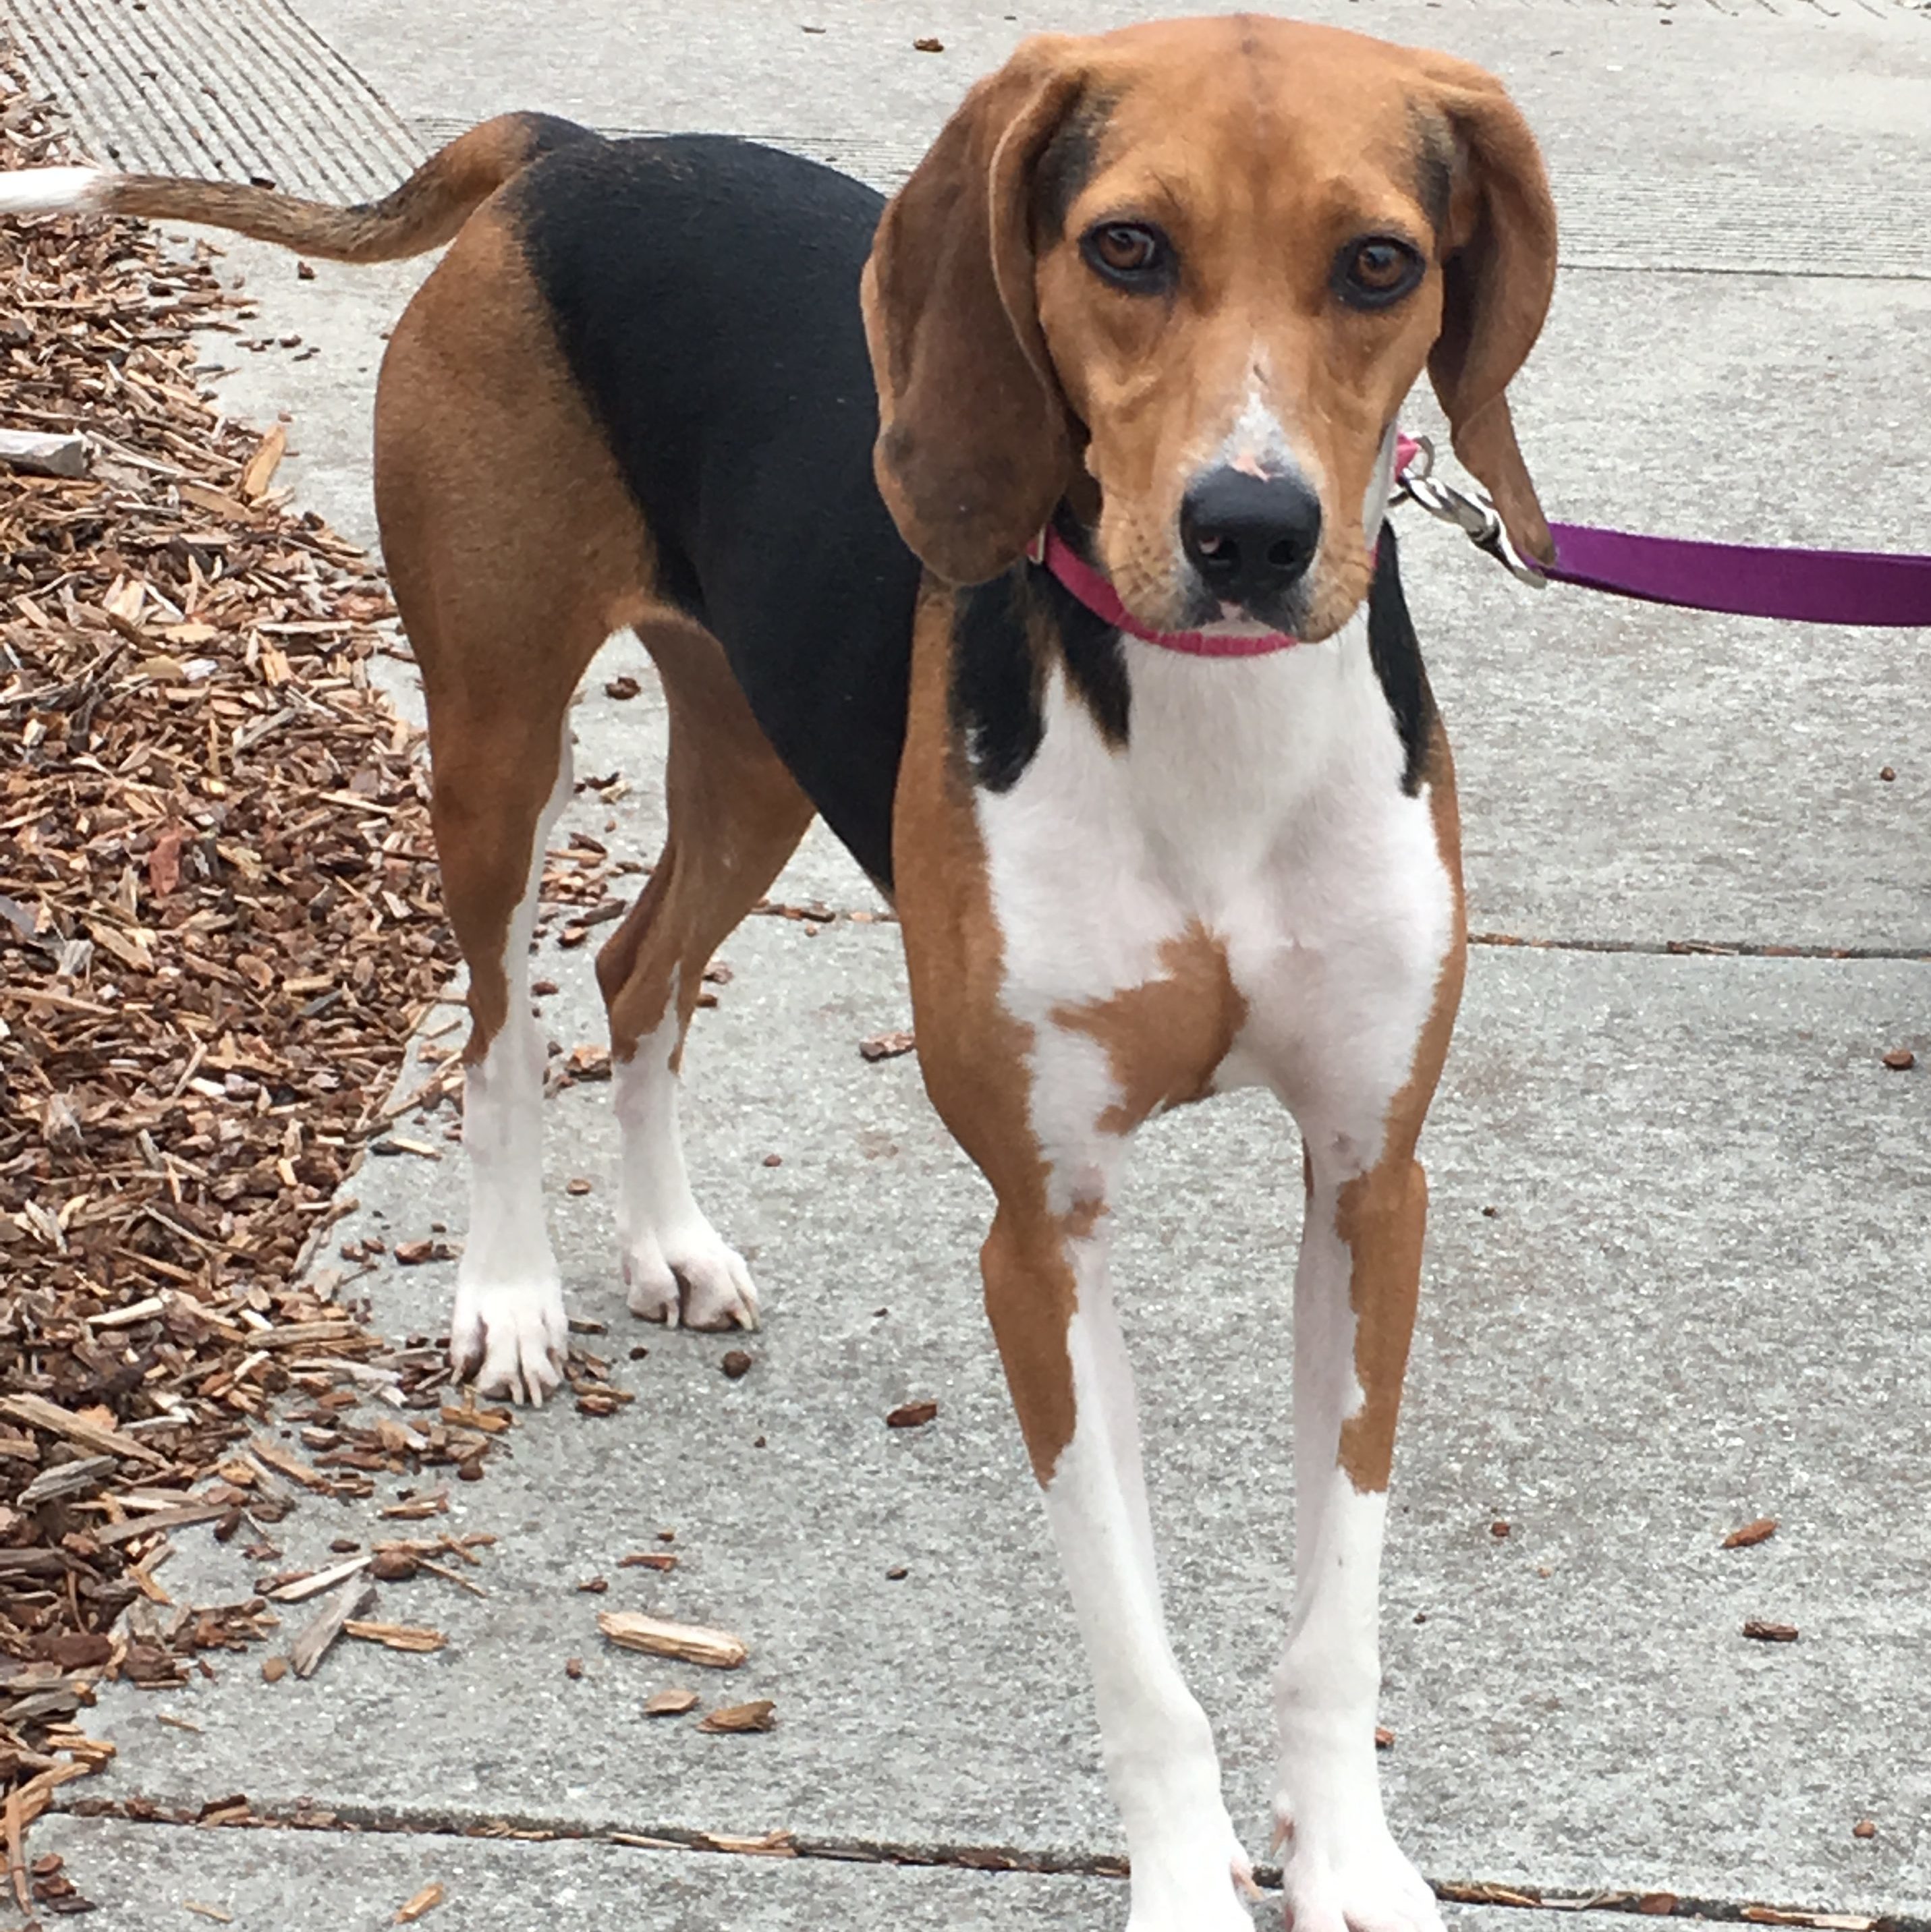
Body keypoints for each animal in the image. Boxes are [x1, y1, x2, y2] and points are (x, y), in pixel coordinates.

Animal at [3, 18, 1554, 1932]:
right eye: (1124, 246)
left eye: (1379, 266)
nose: (1250, 531)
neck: (1205, 724)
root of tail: (578, 153)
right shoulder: (1043, 1232)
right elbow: (1135, 1648)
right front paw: (1190, 1883)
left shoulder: (1368, 1184)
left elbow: (1334, 1613)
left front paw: (1345, 1860)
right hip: (496, 741)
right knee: (503, 1024)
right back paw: (509, 1291)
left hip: (755, 761)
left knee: (635, 969)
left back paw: (667, 1240)